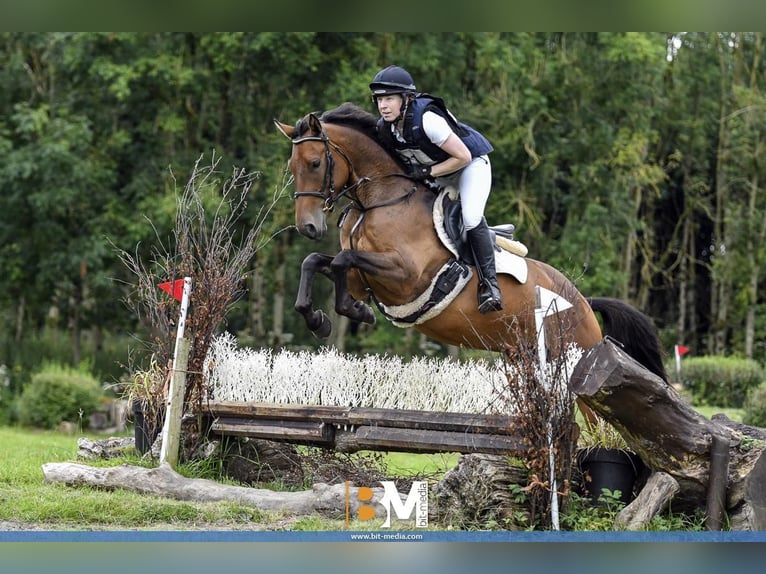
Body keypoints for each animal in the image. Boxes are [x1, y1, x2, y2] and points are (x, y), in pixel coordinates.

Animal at [274, 102, 664, 392]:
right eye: (292, 167)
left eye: (315, 163)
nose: (309, 226)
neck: (379, 200)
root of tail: (582, 301)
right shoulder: (363, 276)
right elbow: (316, 261)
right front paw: (321, 319)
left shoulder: (406, 276)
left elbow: (343, 258)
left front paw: (354, 311)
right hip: (523, 357)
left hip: (572, 361)